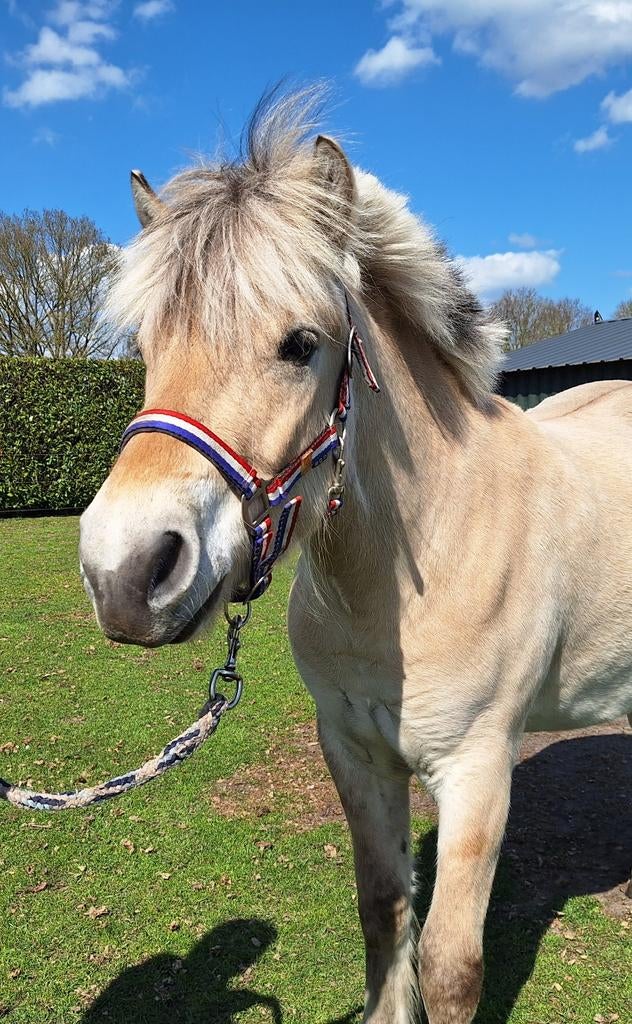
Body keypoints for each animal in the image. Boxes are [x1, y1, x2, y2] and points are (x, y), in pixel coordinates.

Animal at [79, 90, 632, 1024]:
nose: (124, 573)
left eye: (301, 343)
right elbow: (384, 912)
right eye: (147, 349)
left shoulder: (479, 770)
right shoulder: (354, 752)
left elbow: (450, 965)